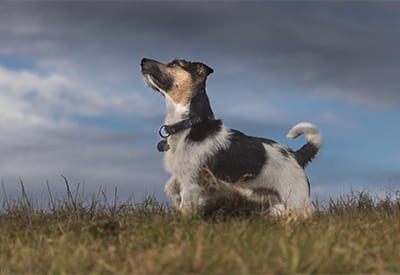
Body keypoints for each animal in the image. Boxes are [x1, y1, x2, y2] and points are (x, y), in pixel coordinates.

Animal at [141, 58, 322, 218]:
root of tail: (296, 155)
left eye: (174, 64)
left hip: (296, 200)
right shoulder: (182, 175)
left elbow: (185, 207)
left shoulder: (191, 183)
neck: (190, 124)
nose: (143, 60)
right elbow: (170, 187)